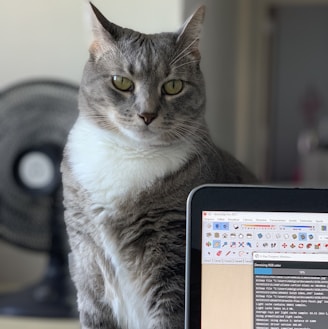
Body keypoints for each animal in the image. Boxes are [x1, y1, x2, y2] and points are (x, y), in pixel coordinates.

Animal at [60, 2, 256, 328]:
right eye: (121, 82)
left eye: (173, 86)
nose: (147, 114)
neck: (129, 153)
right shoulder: (86, 260)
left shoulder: (173, 260)